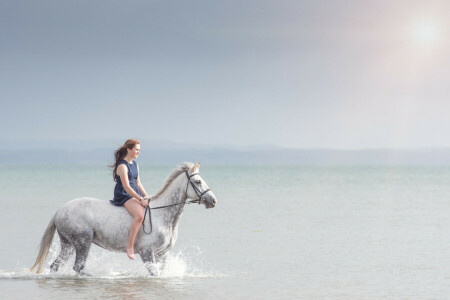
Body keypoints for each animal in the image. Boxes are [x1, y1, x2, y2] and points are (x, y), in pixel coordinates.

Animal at [29, 163, 216, 276]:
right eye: (198, 181)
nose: (213, 201)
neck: (163, 216)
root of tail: (59, 210)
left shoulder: (162, 253)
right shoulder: (147, 252)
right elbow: (154, 274)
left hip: (68, 244)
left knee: (56, 265)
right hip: (83, 242)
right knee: (78, 267)